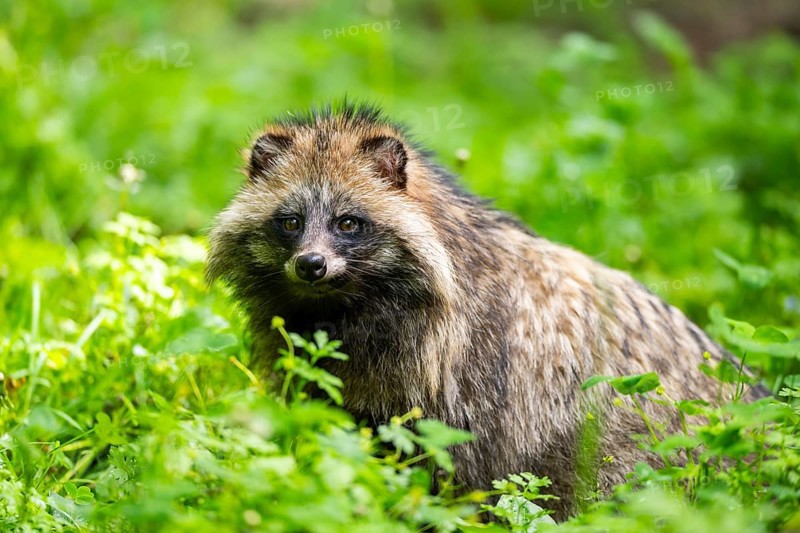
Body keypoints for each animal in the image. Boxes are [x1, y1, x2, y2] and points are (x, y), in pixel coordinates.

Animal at [206, 103, 755, 518]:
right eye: (290, 221)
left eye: (348, 222)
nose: (311, 264)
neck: (346, 308)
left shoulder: (462, 379)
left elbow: (452, 469)